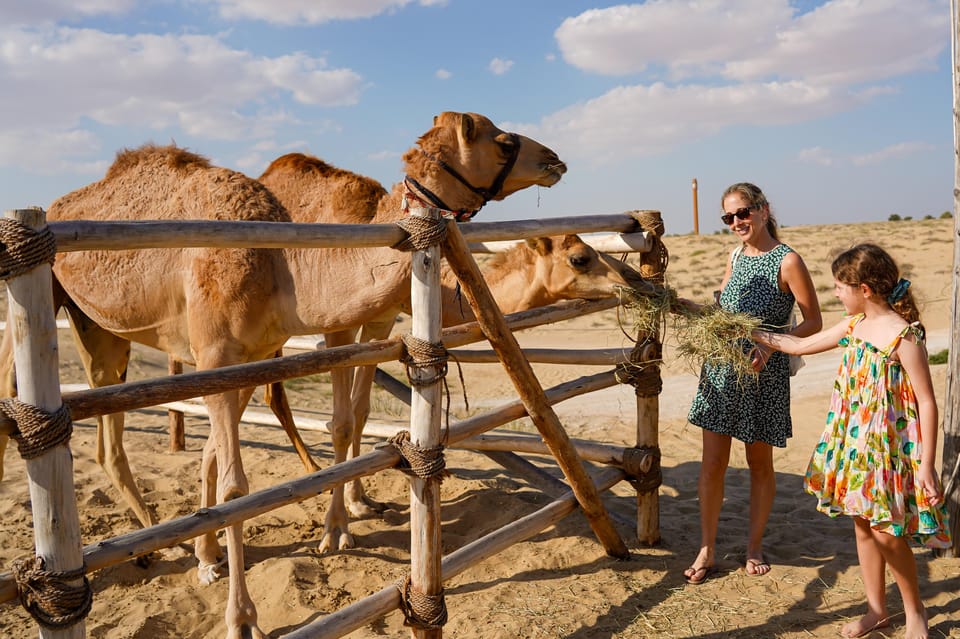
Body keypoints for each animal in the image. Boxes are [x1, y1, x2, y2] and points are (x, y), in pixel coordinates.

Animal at [0, 112, 566, 639]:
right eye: (500, 140)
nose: (555, 159)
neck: (281, 267)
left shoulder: (253, 356)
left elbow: (256, 445)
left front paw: (220, 557)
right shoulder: (223, 352)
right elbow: (238, 488)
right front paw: (244, 616)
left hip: (100, 331)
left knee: (109, 435)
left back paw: (163, 547)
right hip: (30, 300)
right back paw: (140, 551)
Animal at [257, 152, 645, 552]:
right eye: (580, 259)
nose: (632, 279)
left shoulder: (380, 321)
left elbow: (360, 411)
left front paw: (360, 500)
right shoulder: (340, 325)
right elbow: (341, 423)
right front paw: (337, 529)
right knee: (271, 391)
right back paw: (309, 472)